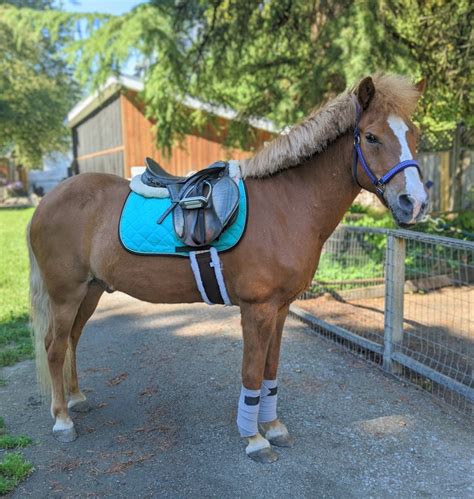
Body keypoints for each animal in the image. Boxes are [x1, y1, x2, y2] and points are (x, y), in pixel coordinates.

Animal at [27, 72, 428, 462]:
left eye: (415, 135)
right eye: (371, 137)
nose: (415, 203)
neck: (286, 206)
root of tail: (46, 201)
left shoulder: (280, 309)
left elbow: (270, 369)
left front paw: (273, 427)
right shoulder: (257, 309)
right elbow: (251, 372)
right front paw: (254, 438)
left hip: (91, 290)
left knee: (72, 339)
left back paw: (77, 399)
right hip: (66, 294)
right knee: (54, 346)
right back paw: (62, 420)